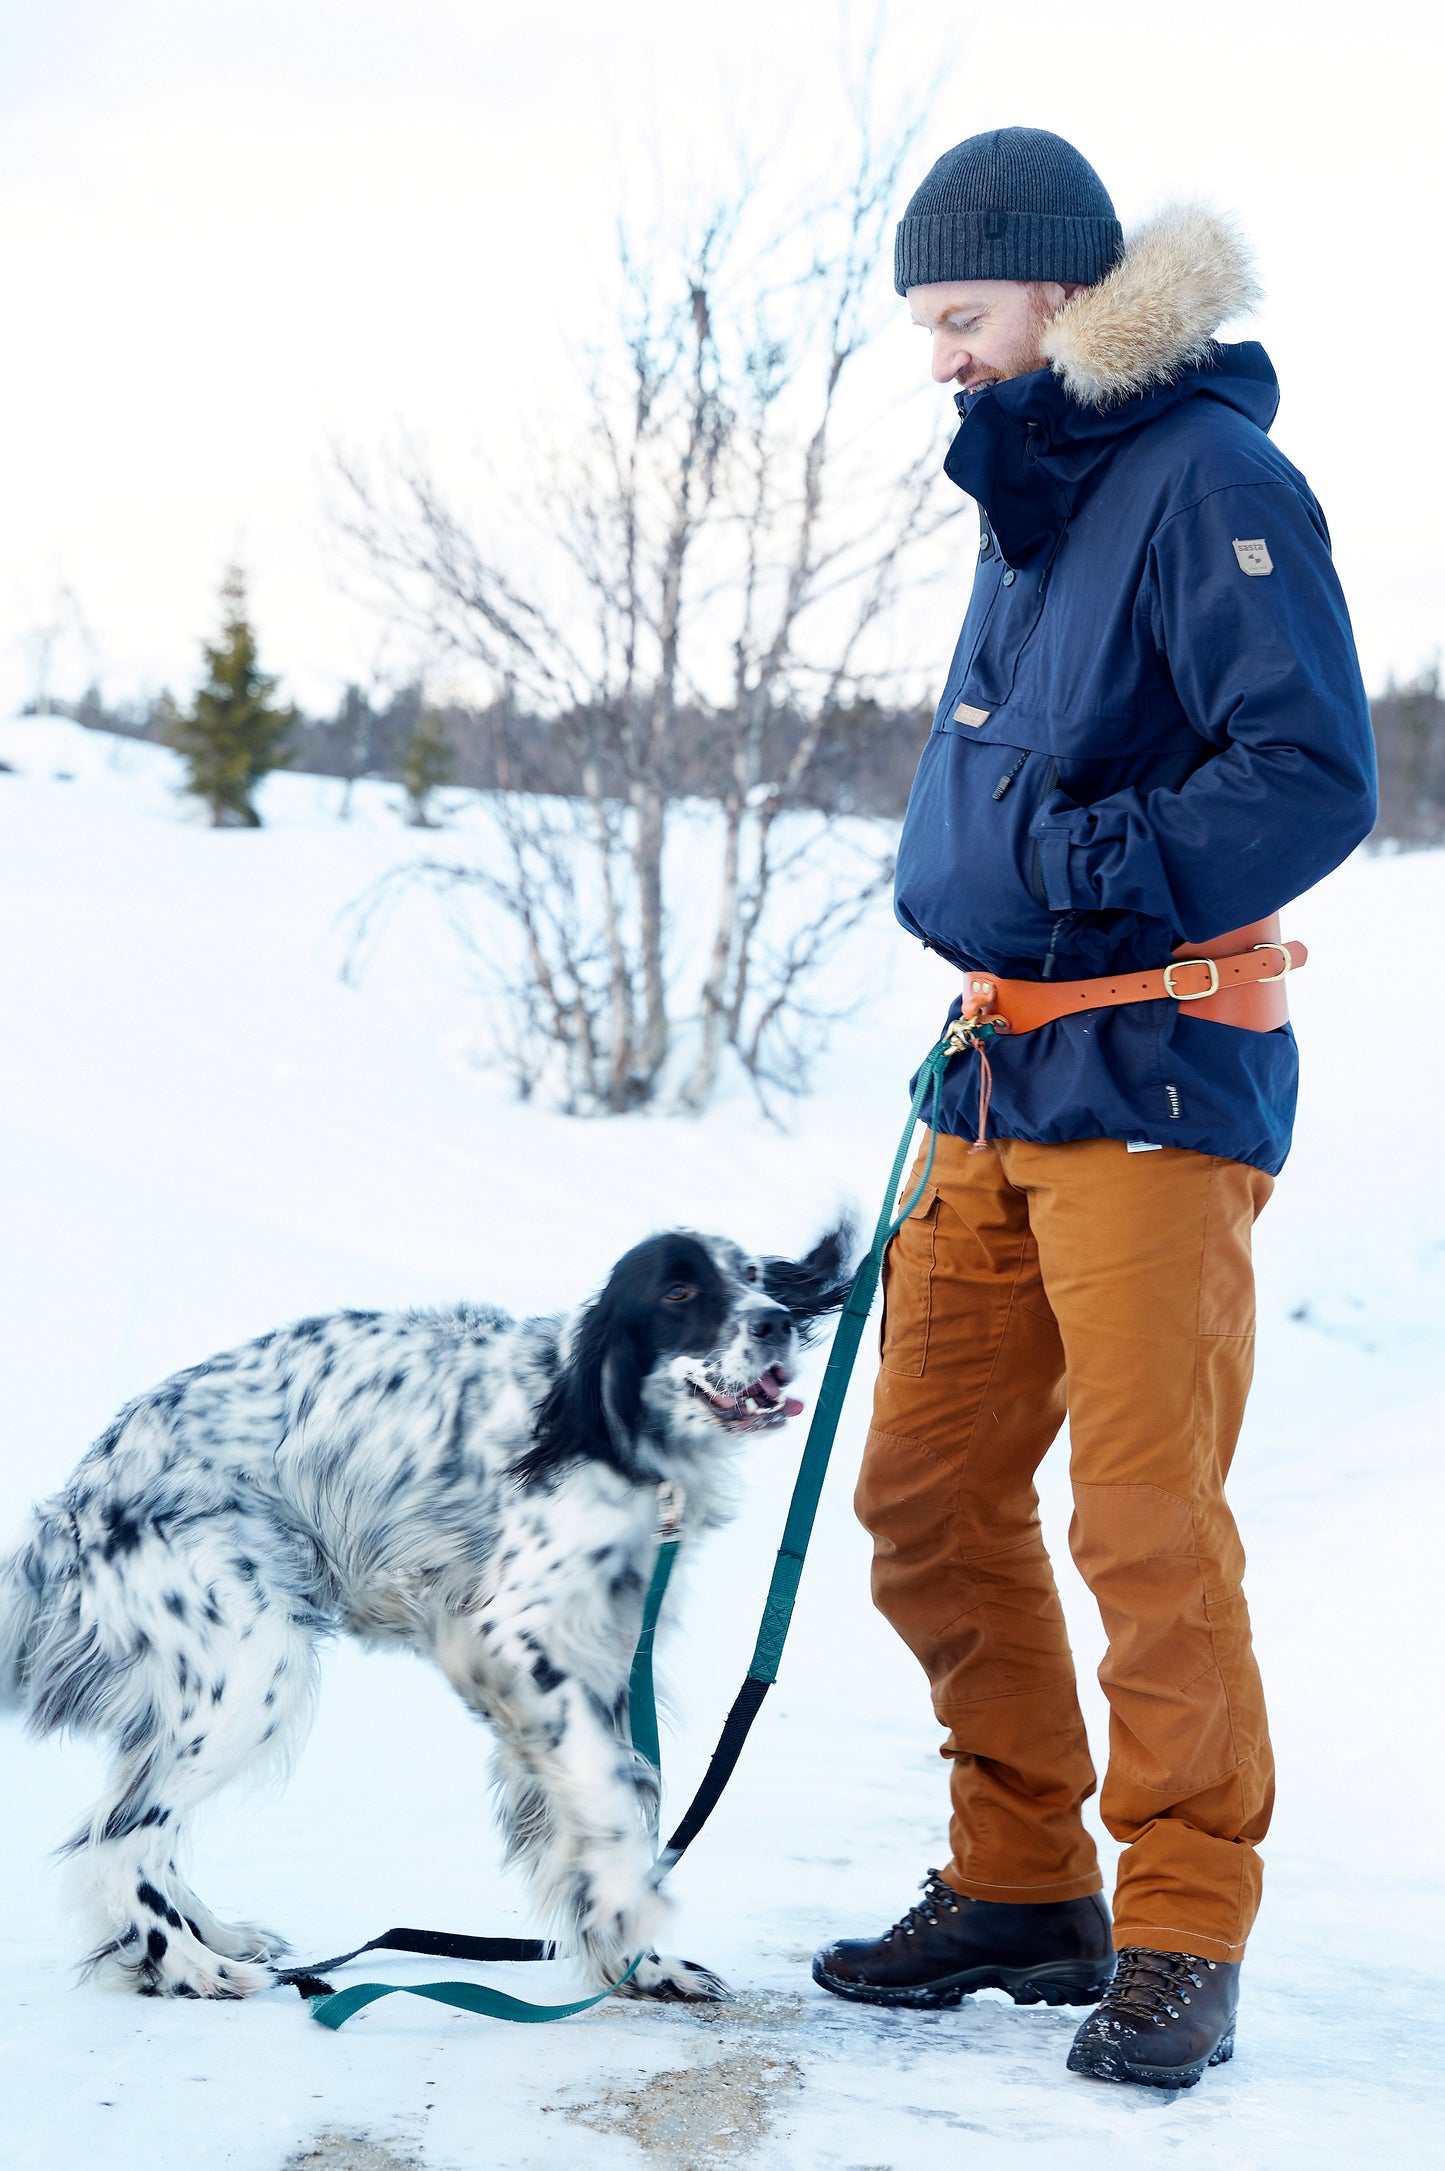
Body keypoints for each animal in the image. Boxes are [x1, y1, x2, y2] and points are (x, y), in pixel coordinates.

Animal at [0, 1224, 850, 1997]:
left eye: (751, 1275)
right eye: (678, 1291)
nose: (775, 1319)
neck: (596, 1425)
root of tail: (78, 1499)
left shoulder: (598, 1662)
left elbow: (595, 1815)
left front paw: (639, 1965)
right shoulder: (514, 1642)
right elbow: (610, 1801)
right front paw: (631, 1924)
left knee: (134, 1821)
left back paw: (217, 1934)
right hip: (253, 1667)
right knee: (120, 1837)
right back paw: (194, 1966)